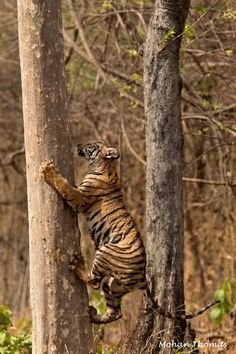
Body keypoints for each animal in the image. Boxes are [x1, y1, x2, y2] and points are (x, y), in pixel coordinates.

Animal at [39, 140, 218, 324]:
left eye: (92, 144)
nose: (78, 144)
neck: (106, 166)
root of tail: (142, 277)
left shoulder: (80, 198)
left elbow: (65, 186)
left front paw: (47, 170)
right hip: (113, 285)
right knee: (115, 312)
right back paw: (93, 314)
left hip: (106, 252)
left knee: (94, 282)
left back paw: (76, 266)